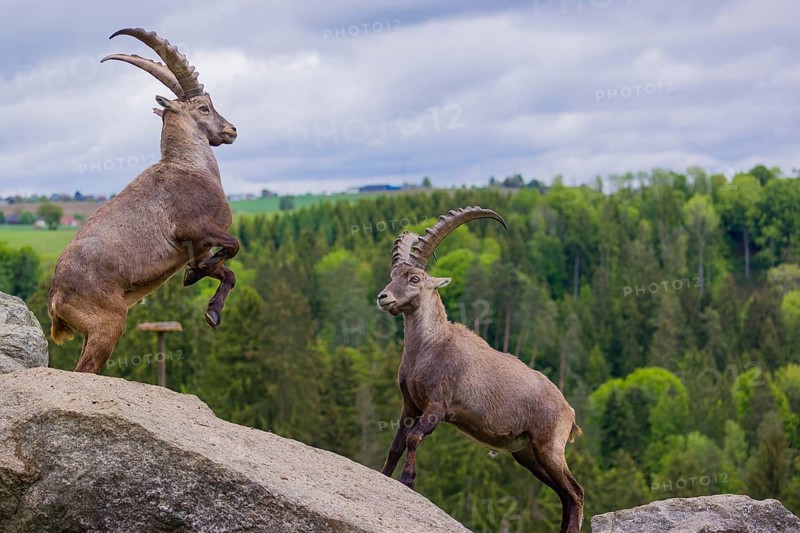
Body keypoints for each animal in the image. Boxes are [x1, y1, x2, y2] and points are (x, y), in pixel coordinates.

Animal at [48, 28, 239, 374]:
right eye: (204, 108)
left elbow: (227, 272)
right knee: (86, 369)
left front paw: (211, 311)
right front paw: (194, 276)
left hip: (92, 330)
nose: (231, 130)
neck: (191, 167)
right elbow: (233, 246)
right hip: (108, 322)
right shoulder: (193, 228)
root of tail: (55, 297)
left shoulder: (198, 247)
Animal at [376, 206, 584, 533]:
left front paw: (408, 481)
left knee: (575, 492)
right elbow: (396, 444)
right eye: (392, 276)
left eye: (414, 278)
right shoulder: (409, 405)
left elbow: (413, 438)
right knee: (564, 494)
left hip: (549, 447)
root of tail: (569, 411)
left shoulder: (438, 405)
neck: (429, 347)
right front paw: (384, 476)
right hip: (528, 454)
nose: (383, 298)